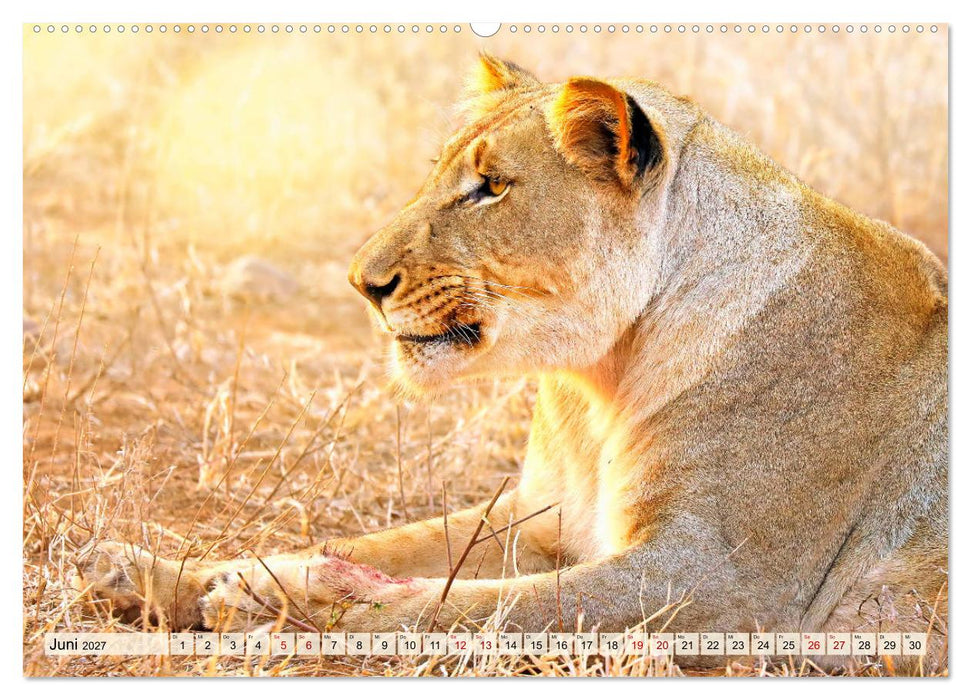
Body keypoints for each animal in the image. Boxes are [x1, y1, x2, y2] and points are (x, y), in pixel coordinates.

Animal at [77, 55, 947, 672]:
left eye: (490, 187)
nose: (361, 281)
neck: (604, 379)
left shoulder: (729, 587)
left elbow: (475, 610)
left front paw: (286, 608)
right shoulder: (546, 517)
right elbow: (393, 547)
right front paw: (156, 573)